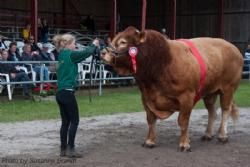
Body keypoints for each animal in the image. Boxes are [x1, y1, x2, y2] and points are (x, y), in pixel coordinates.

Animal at [100, 26, 243, 151]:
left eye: (123, 42)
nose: (102, 52)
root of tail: (234, 48)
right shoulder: (146, 97)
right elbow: (151, 120)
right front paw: (149, 141)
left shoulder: (187, 96)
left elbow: (183, 121)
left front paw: (184, 144)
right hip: (209, 92)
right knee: (212, 111)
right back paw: (207, 134)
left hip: (228, 88)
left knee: (225, 110)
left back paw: (222, 135)